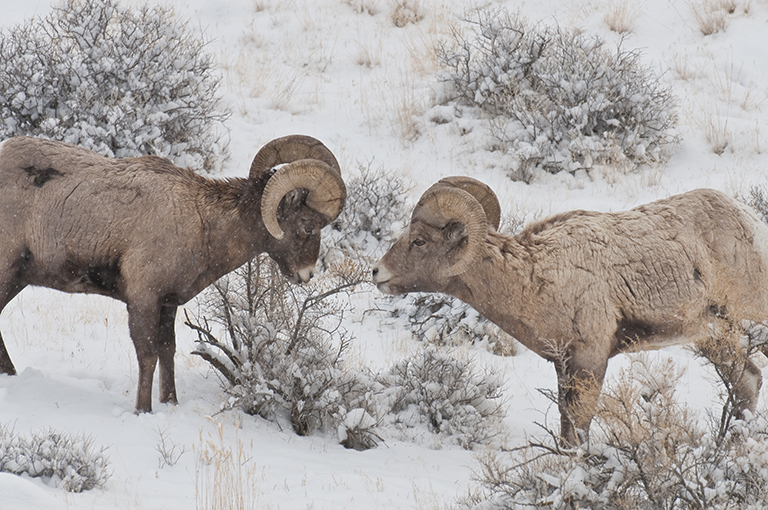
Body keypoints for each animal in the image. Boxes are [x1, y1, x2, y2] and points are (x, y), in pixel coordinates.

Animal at [0, 135, 344, 414]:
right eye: (308, 226)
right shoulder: (143, 300)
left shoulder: (167, 304)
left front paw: (170, 403)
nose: (306, 275)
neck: (202, 224)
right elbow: (148, 355)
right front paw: (143, 410)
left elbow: (168, 351)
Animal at [374, 178, 768, 446]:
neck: (533, 279)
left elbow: (578, 427)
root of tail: (751, 224)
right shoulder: (563, 365)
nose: (378, 273)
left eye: (419, 241)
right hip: (714, 338)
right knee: (746, 382)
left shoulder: (590, 359)